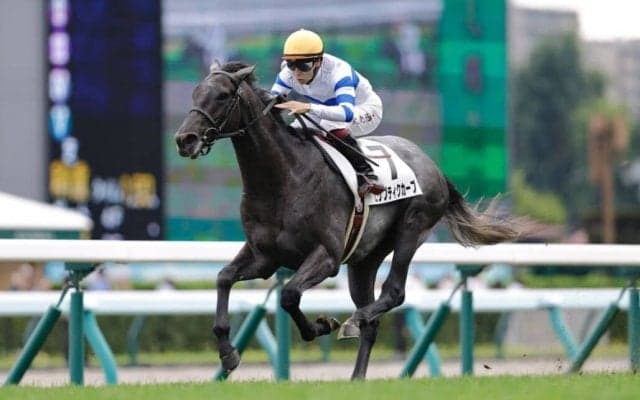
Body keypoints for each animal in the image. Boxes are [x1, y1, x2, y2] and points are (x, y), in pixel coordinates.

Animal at [174, 61, 519, 380]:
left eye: (222, 95)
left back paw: (354, 321)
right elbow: (223, 278)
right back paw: (356, 375)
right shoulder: (264, 257)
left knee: (393, 292)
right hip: (364, 259)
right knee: (373, 319)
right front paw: (228, 354)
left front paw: (323, 324)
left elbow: (289, 295)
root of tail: (432, 164)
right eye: (195, 93)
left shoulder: (327, 257)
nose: (184, 139)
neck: (282, 180)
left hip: (412, 227)